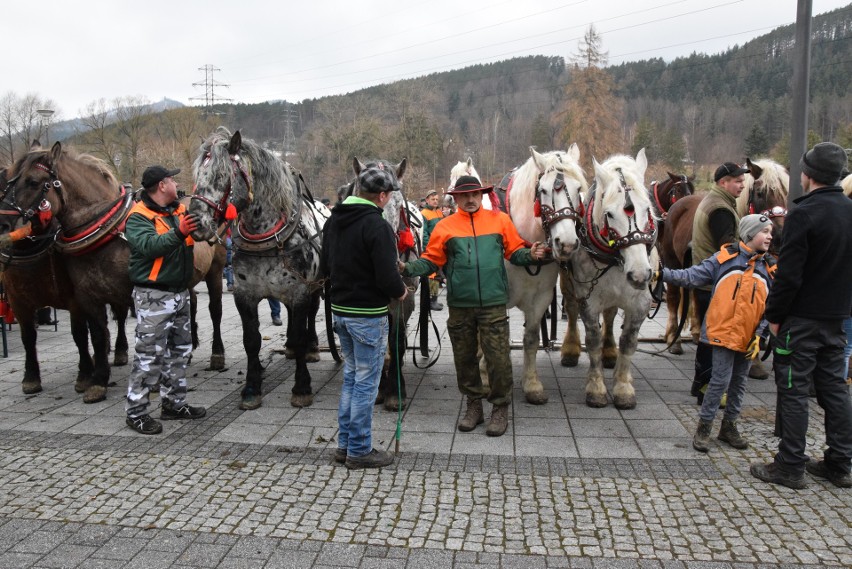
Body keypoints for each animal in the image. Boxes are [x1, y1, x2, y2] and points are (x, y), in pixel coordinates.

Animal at [502, 146, 588, 404]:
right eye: (543, 190)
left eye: (578, 189)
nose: (567, 243)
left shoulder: (540, 299)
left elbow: (531, 339)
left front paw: (531, 384)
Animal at [572, 149, 660, 408]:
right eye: (609, 214)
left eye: (647, 209)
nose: (640, 274)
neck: (615, 260)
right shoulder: (588, 301)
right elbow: (592, 340)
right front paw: (596, 387)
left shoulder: (640, 303)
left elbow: (628, 342)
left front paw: (622, 387)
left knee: (611, 318)